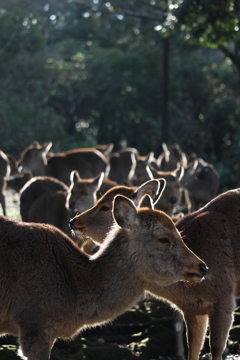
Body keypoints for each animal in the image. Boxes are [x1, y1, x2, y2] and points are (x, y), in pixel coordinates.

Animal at [70, 187, 240, 360]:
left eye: (105, 207)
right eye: (164, 239)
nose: (73, 221)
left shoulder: (225, 297)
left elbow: (216, 348)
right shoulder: (192, 310)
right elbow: (193, 349)